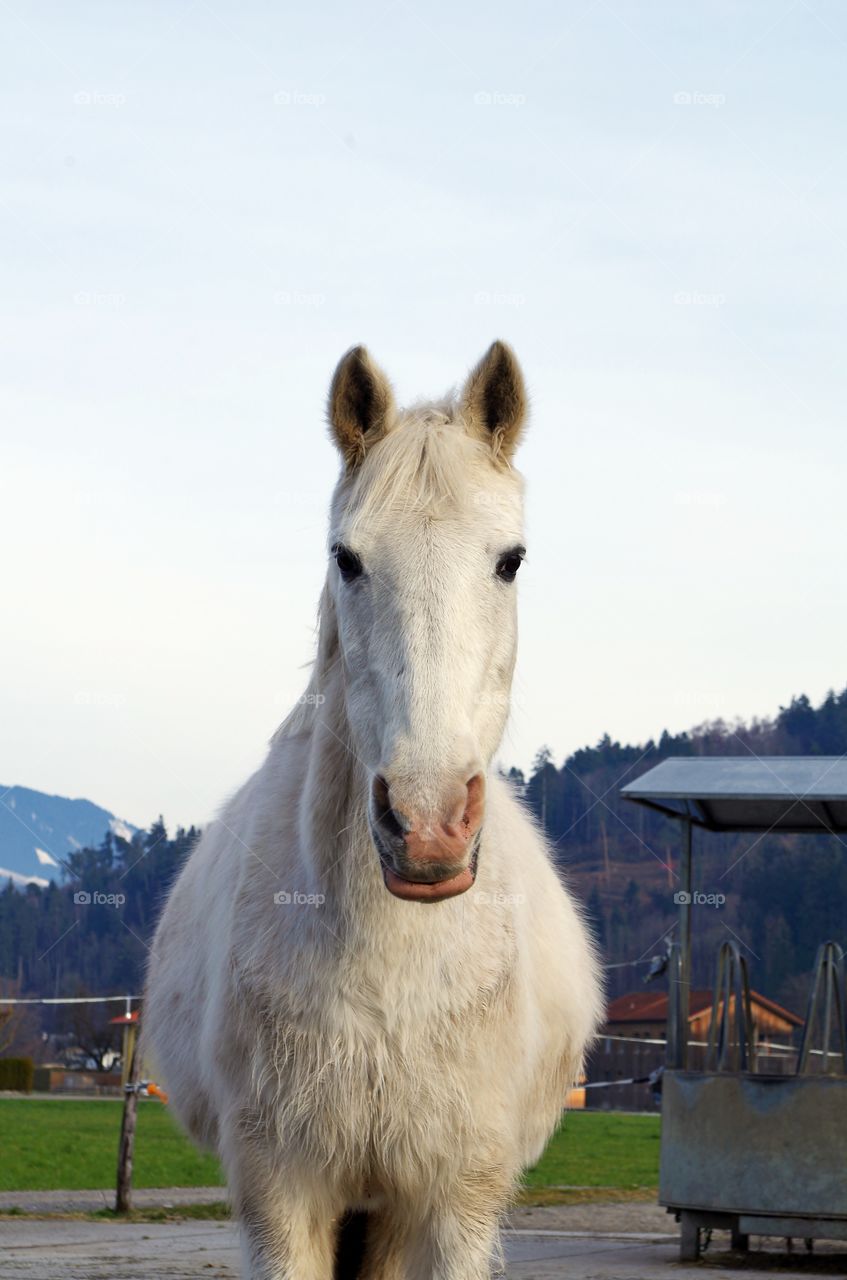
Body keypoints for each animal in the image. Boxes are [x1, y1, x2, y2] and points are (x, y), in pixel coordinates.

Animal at [147, 343, 611, 1280]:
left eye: (510, 559)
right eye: (347, 558)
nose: (427, 824)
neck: (386, 972)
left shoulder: (453, 1203)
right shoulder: (280, 1199)